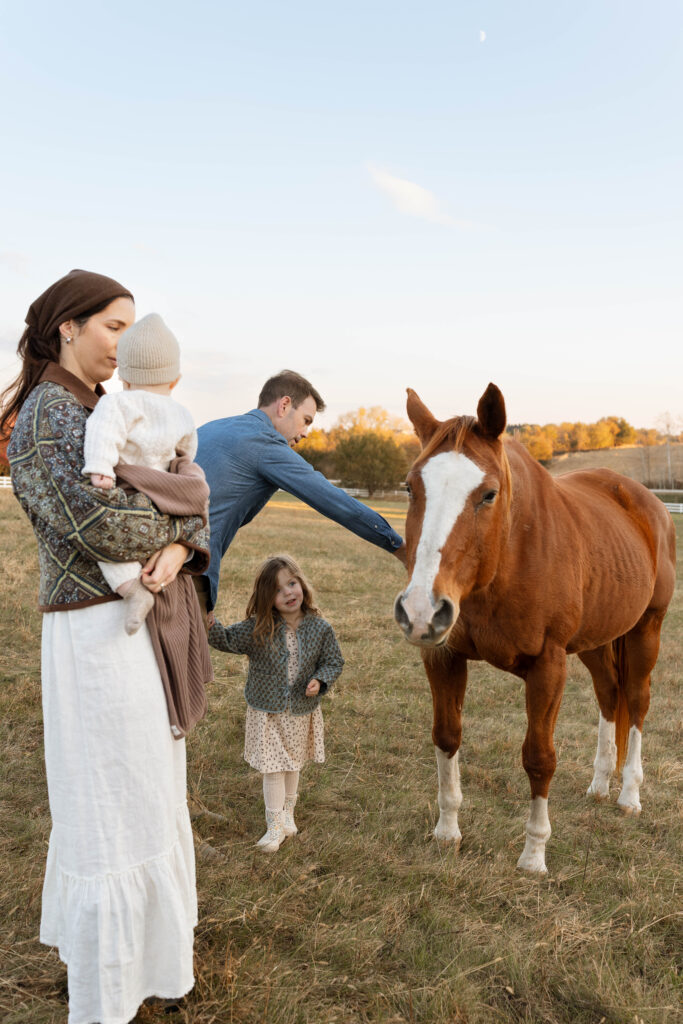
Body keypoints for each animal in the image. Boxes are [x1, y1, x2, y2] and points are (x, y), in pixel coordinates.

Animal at [394, 383, 676, 874]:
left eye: (488, 494)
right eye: (411, 487)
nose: (421, 611)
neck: (510, 554)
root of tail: (647, 503)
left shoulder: (548, 667)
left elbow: (539, 758)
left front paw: (534, 855)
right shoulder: (443, 655)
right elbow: (446, 737)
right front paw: (447, 831)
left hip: (646, 630)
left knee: (637, 701)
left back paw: (628, 796)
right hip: (596, 641)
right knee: (609, 694)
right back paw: (600, 784)